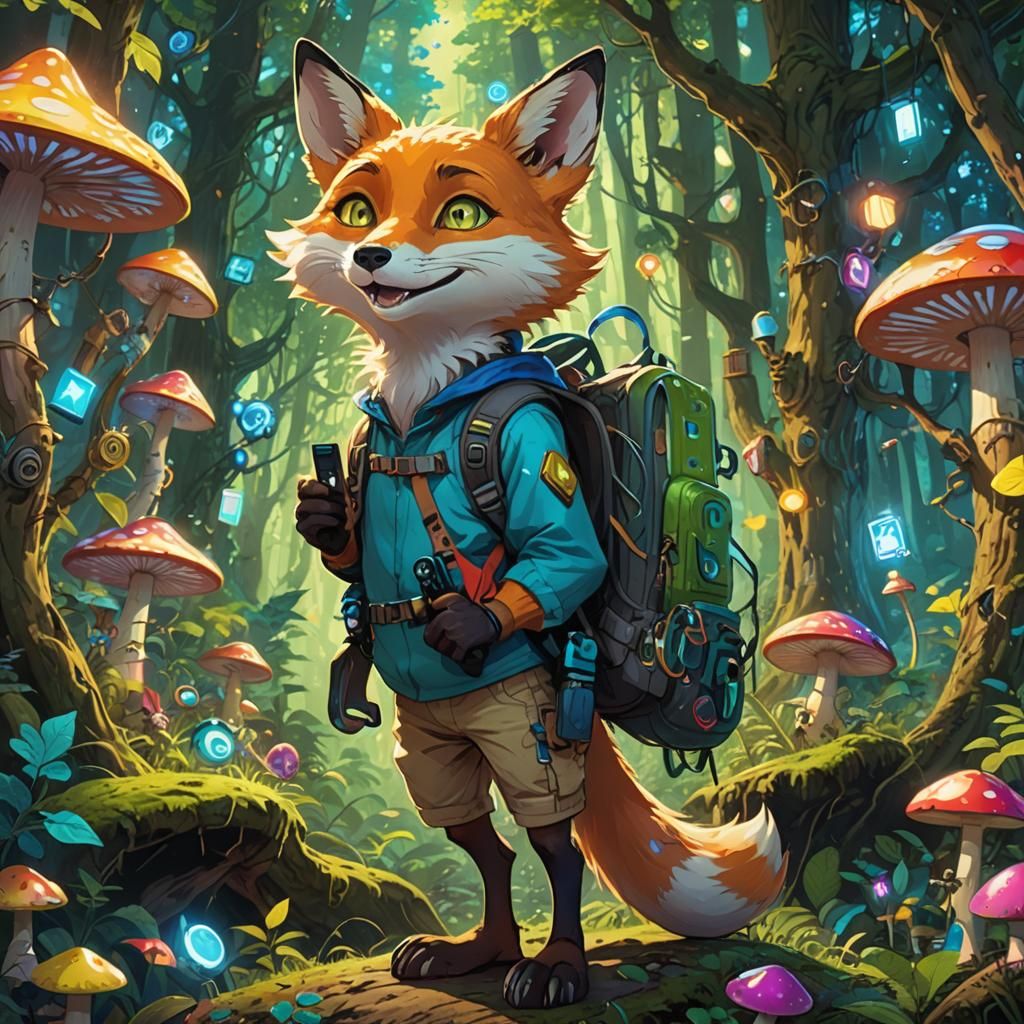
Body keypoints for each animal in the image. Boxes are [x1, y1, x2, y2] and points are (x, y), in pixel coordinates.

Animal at [275, 38, 786, 1010]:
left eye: (462, 212)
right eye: (356, 207)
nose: (370, 255)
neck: (423, 407)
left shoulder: (529, 448)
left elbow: (564, 551)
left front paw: (470, 621)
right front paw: (325, 519)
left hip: (525, 728)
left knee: (552, 839)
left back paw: (554, 965)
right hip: (428, 740)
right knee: (481, 837)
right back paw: (481, 947)